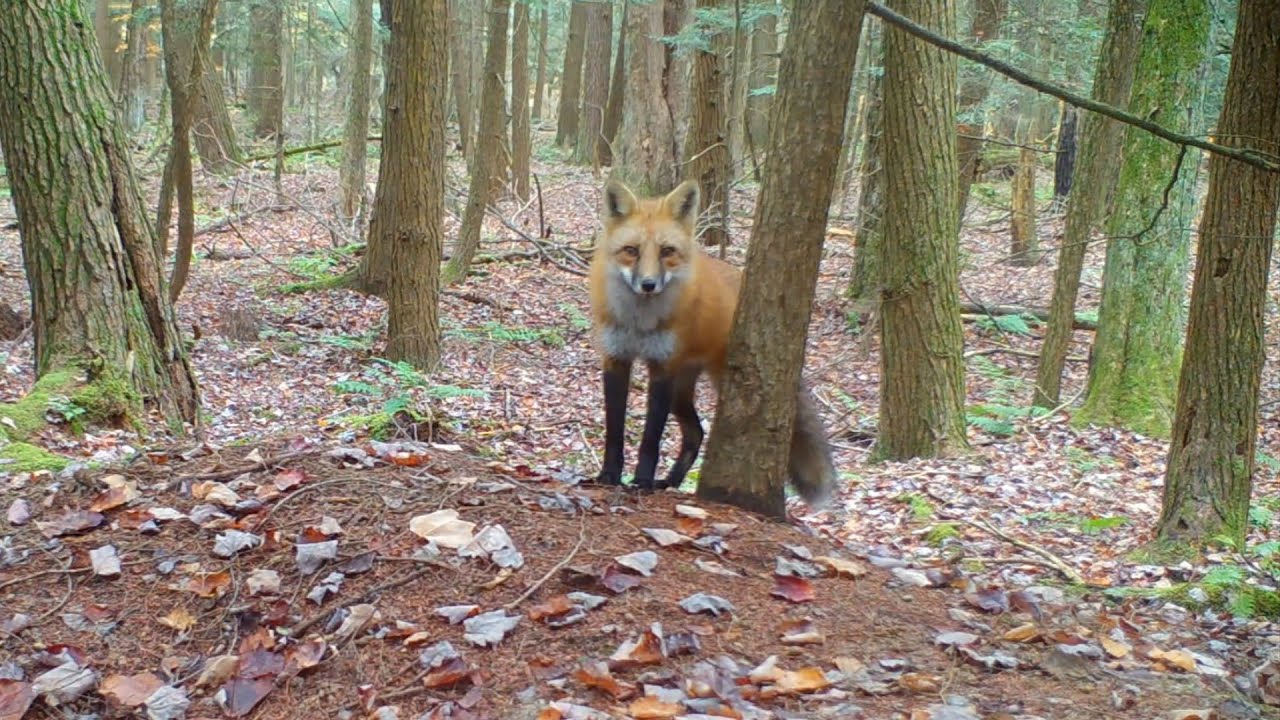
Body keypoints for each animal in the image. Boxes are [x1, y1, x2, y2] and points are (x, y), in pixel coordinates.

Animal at [586, 178, 837, 507]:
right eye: (631, 250)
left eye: (667, 251)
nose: (649, 284)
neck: (640, 322)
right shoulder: (616, 358)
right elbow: (614, 428)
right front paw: (609, 475)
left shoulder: (663, 366)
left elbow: (651, 437)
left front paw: (642, 481)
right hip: (680, 390)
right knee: (695, 433)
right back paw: (670, 482)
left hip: (700, 381)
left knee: (698, 432)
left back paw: (665, 483)